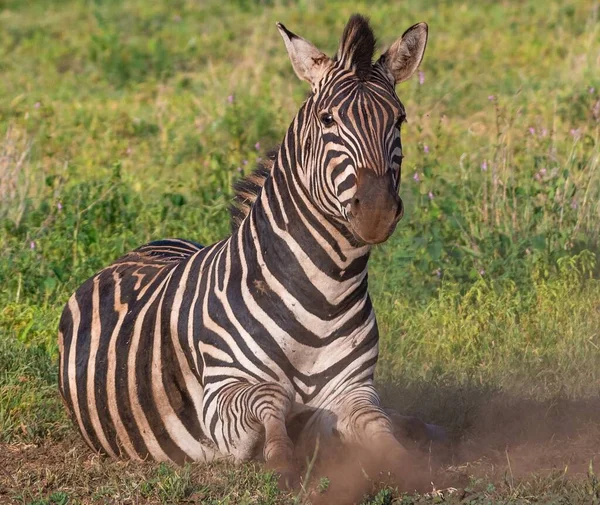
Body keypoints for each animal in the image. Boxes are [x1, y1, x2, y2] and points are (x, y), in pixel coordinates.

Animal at [57, 14, 426, 488]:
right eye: (327, 119)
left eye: (399, 120)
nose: (377, 211)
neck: (323, 294)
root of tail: (138, 251)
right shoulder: (218, 398)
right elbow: (270, 397)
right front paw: (281, 456)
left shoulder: (353, 388)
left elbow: (378, 424)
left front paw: (408, 460)